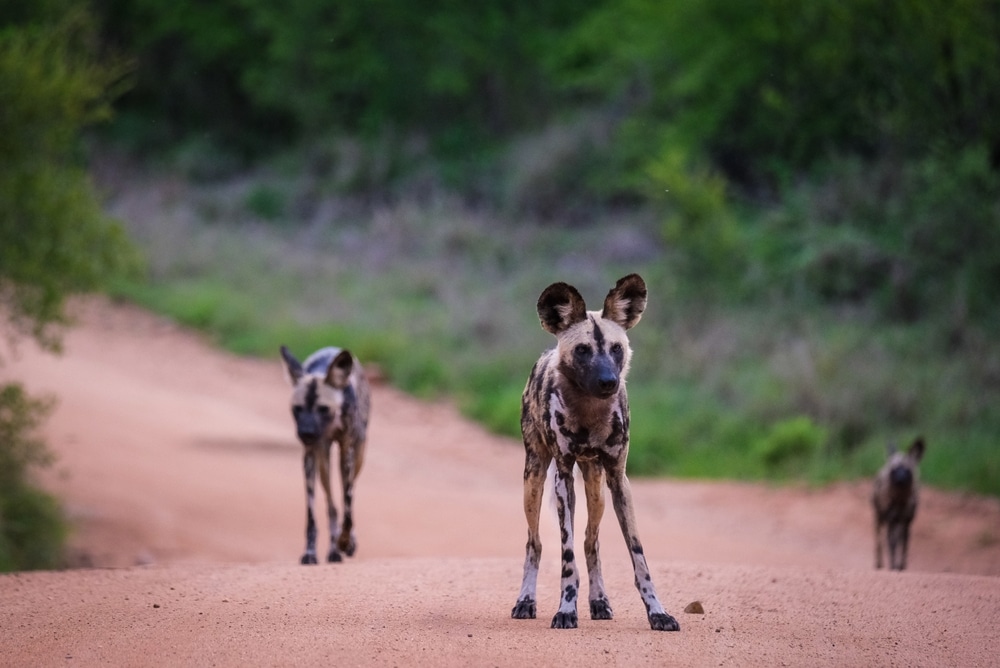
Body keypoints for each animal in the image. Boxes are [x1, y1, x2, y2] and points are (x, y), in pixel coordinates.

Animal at [280, 348, 370, 568]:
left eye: (323, 408)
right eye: (297, 408)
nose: (306, 433)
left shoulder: (347, 452)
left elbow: (348, 506)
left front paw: (346, 541)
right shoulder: (310, 455)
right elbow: (312, 516)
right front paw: (310, 553)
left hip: (357, 457)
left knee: (346, 498)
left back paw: (345, 543)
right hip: (323, 462)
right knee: (332, 506)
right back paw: (333, 550)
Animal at [512, 276, 684, 632]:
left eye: (616, 348)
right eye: (582, 350)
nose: (608, 381)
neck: (590, 412)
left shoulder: (618, 480)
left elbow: (638, 557)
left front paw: (657, 612)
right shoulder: (563, 477)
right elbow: (567, 558)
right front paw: (566, 609)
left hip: (596, 487)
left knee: (591, 542)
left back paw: (599, 601)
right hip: (534, 479)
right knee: (535, 543)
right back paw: (526, 601)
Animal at [872, 436, 924, 572]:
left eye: (907, 470)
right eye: (894, 470)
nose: (900, 480)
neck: (900, 499)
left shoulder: (906, 523)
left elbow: (904, 545)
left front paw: (901, 567)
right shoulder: (891, 520)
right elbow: (892, 544)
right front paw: (893, 566)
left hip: (898, 523)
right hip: (879, 519)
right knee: (879, 540)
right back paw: (879, 564)